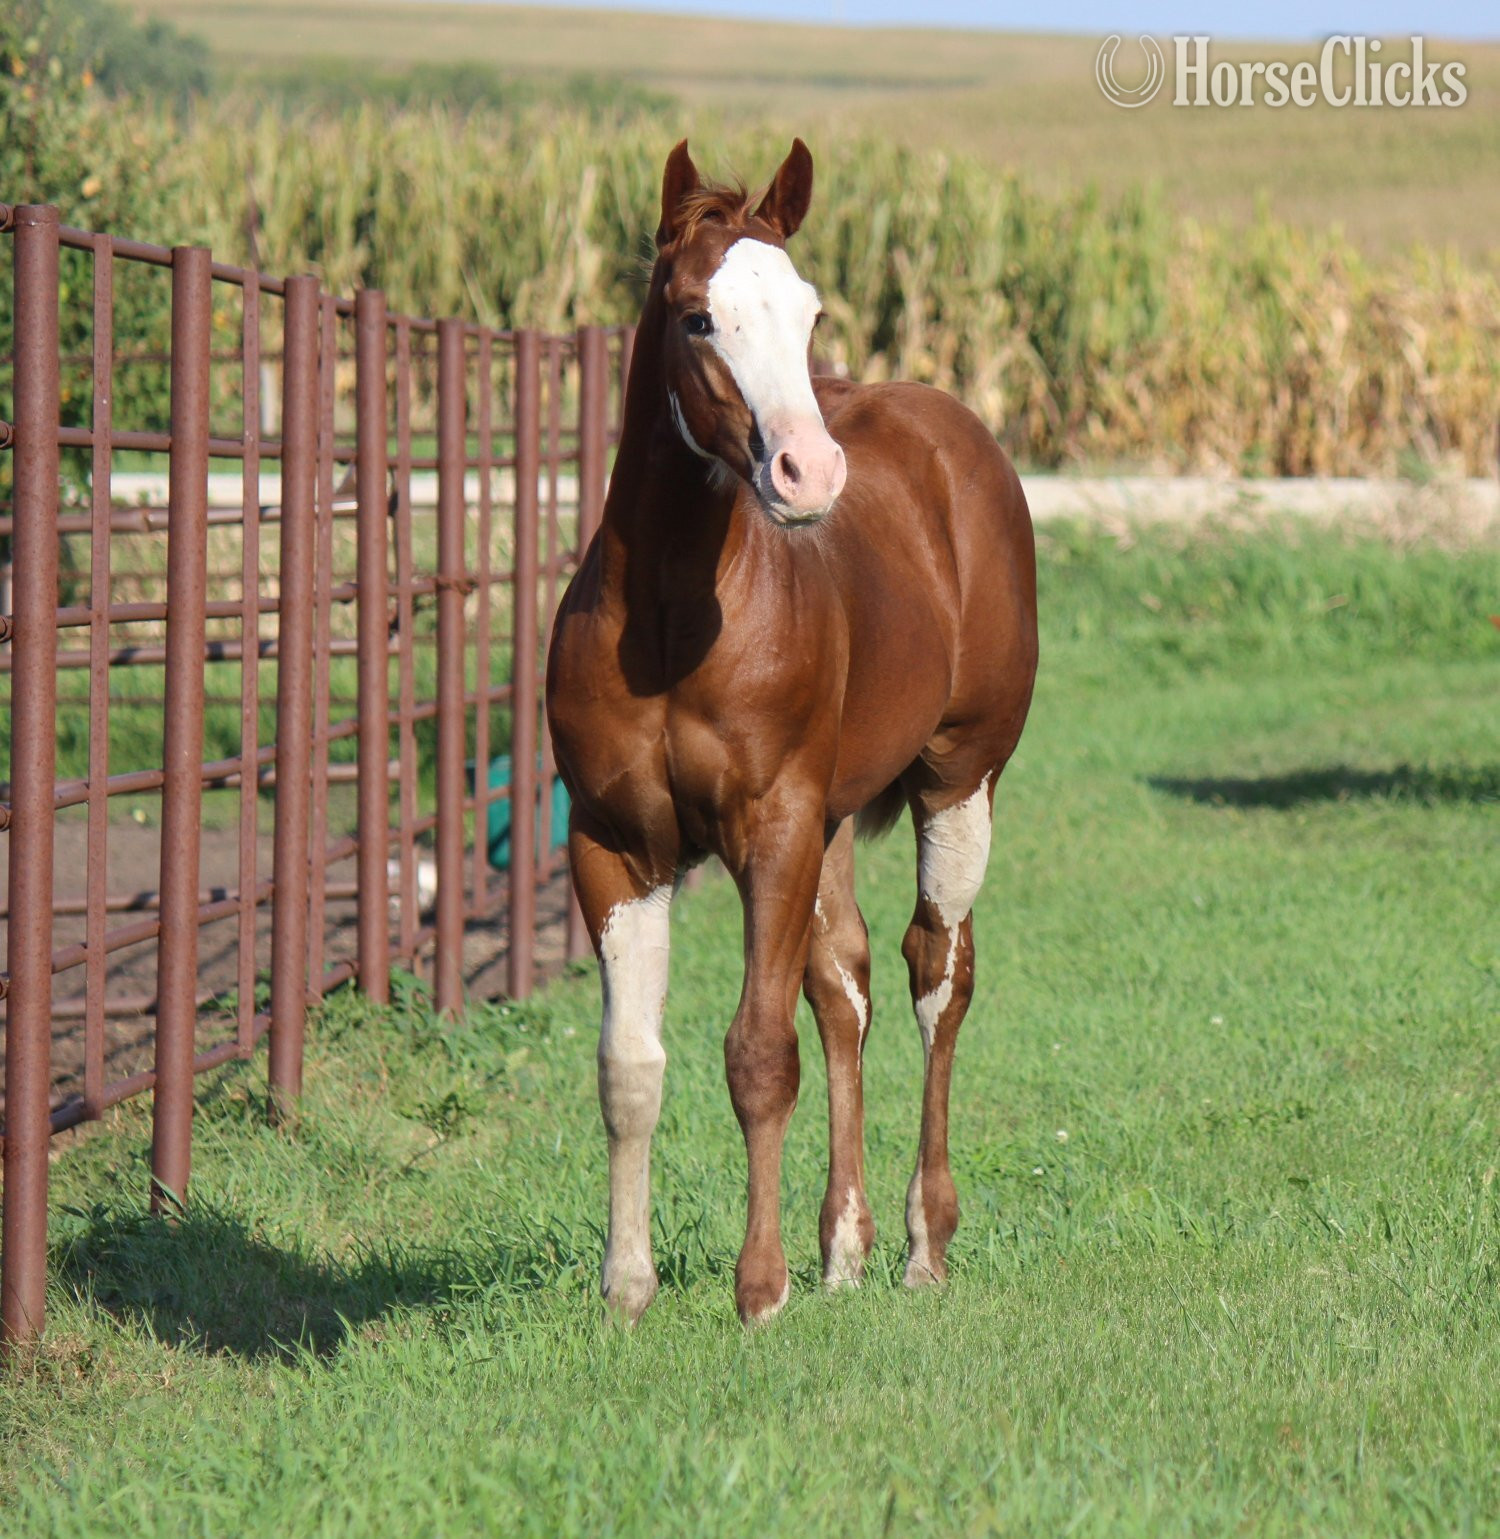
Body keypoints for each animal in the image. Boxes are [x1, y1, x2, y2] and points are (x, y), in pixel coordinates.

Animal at [546, 138, 1038, 1324]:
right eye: (697, 318)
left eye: (811, 312)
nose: (808, 473)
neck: (672, 618)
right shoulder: (614, 846)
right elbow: (629, 1067)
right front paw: (626, 1287)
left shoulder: (770, 830)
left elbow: (760, 1054)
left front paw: (758, 1290)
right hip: (834, 818)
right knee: (846, 988)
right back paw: (844, 1247)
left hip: (961, 780)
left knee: (936, 974)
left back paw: (920, 1242)